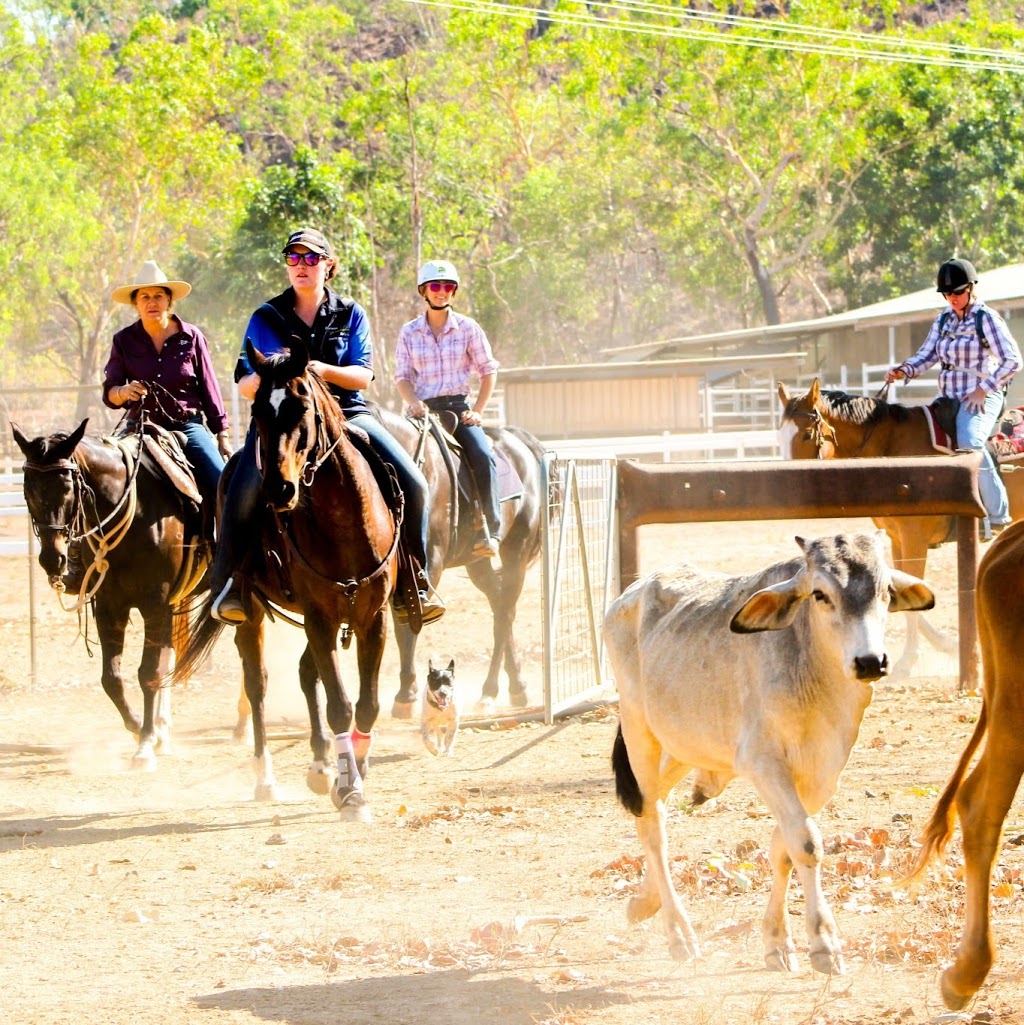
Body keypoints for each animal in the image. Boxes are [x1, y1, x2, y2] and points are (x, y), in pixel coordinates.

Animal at [13, 418, 212, 770]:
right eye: (28, 488)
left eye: (67, 487)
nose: (52, 560)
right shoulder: (109, 606)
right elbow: (112, 679)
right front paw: (140, 729)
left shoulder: (156, 604)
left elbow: (148, 672)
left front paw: (145, 745)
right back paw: (165, 731)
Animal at [174, 340, 397, 820]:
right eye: (258, 410)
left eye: (302, 406)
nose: (278, 490)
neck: (345, 521)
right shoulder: (319, 617)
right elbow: (340, 705)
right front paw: (351, 790)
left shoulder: (373, 618)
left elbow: (367, 704)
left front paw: (355, 769)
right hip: (254, 613)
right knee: (257, 684)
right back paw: (266, 778)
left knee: (305, 674)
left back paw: (320, 765)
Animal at [377, 407, 549, 721]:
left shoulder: (429, 564)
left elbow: (409, 622)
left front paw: (406, 695)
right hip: (478, 564)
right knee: (500, 607)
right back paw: (516, 685)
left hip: (516, 552)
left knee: (505, 613)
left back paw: (490, 692)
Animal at [774, 381, 1024, 676]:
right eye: (780, 436)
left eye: (806, 434)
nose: (788, 484)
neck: (894, 449)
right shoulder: (897, 539)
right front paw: (946, 644)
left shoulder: (914, 536)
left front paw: (906, 663)